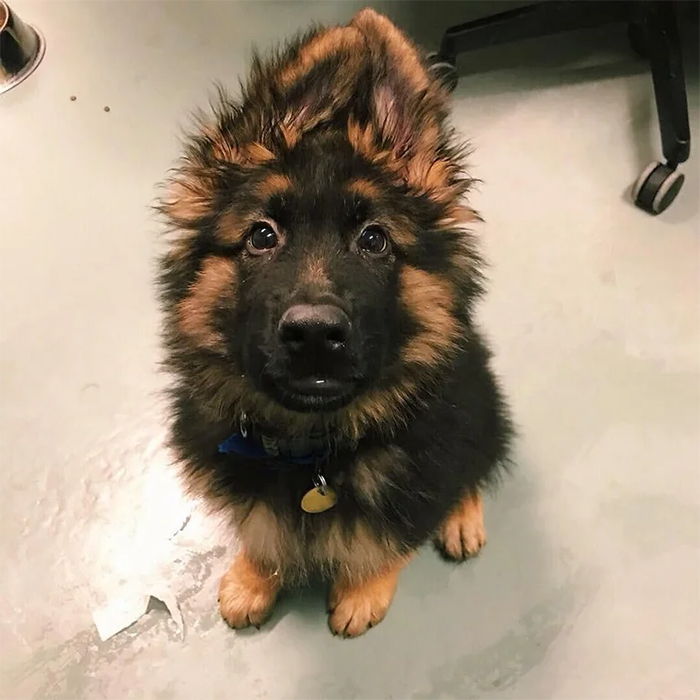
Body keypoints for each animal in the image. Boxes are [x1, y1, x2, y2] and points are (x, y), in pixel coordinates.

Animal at [159, 6, 512, 640]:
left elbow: (391, 537)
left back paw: (462, 517)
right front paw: (254, 577)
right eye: (261, 235)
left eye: (374, 240)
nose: (314, 334)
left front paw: (363, 589)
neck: (312, 453)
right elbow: (263, 532)